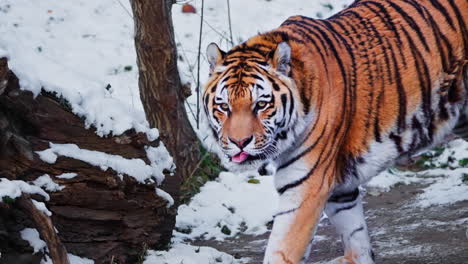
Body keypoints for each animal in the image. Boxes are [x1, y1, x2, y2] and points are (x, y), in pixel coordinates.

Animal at [202, 0, 468, 262]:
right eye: (224, 107)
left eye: (261, 105)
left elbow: (282, 249)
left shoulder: (305, 187)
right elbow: (356, 234)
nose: (239, 142)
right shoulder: (340, 187)